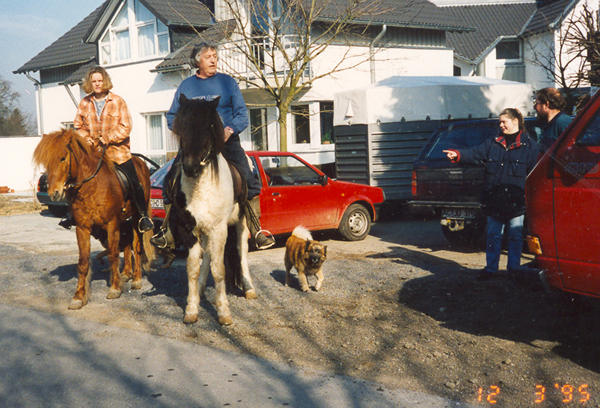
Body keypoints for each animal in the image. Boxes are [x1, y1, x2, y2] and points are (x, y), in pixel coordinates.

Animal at [32, 130, 155, 310]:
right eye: (46, 162)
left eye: (62, 158)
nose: (54, 193)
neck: (91, 187)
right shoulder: (82, 228)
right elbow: (83, 262)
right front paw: (78, 297)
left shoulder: (111, 224)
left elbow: (112, 255)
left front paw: (115, 288)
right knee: (126, 245)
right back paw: (126, 274)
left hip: (136, 218)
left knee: (136, 246)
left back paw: (137, 279)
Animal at [169, 95, 255, 326]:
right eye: (181, 126)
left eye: (208, 126)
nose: (190, 167)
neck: (201, 187)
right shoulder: (188, 229)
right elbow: (193, 268)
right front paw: (191, 309)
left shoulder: (219, 229)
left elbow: (219, 270)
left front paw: (223, 312)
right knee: (207, 256)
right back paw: (199, 289)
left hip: (240, 223)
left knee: (241, 251)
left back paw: (249, 288)